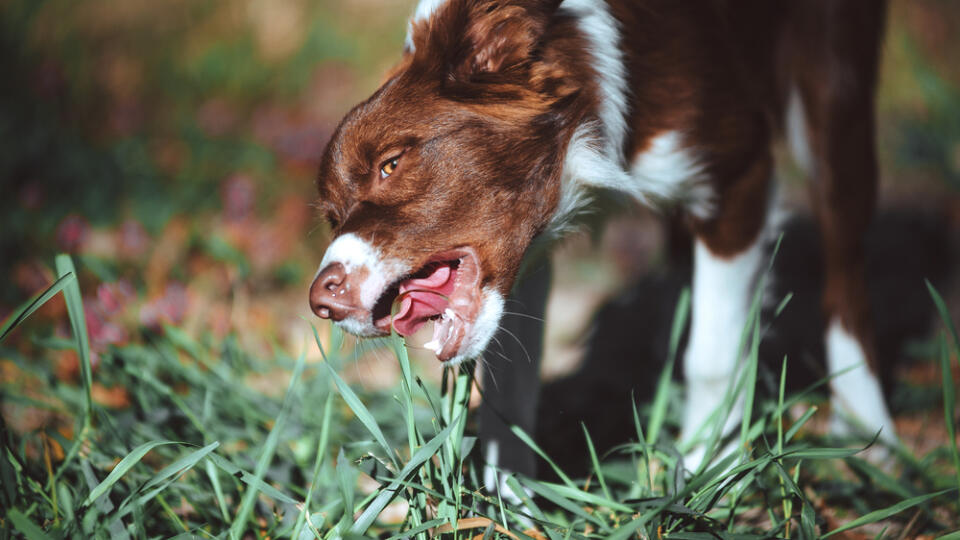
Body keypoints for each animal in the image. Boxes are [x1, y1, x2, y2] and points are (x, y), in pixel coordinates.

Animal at [308, 0, 892, 476]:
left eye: (391, 164)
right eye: (333, 217)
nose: (321, 301)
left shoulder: (739, 176)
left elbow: (711, 355)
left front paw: (708, 473)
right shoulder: (529, 258)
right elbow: (510, 393)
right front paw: (508, 505)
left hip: (833, 89)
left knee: (845, 263)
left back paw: (866, 423)